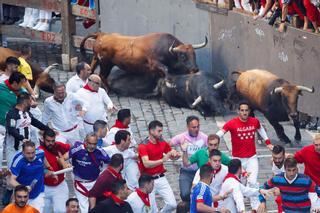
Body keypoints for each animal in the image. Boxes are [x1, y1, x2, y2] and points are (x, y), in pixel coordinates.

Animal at [80, 31, 208, 85]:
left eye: (194, 54)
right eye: (182, 55)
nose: (195, 69)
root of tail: (101, 34)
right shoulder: (153, 63)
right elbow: (166, 69)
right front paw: (168, 81)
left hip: (96, 59)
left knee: (92, 70)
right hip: (105, 63)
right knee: (102, 75)